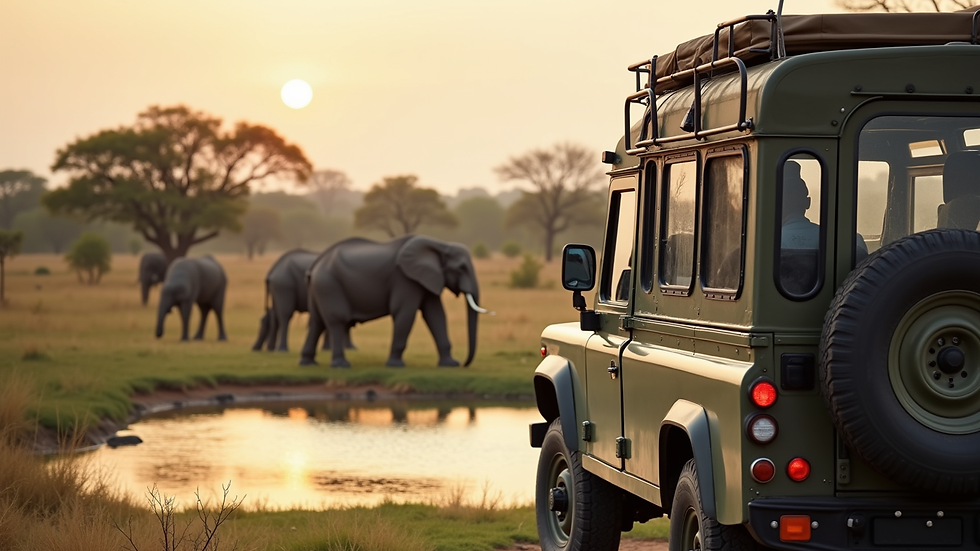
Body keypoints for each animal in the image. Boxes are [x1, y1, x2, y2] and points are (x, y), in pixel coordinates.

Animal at [300, 235, 488, 368]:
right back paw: (341, 365)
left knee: (317, 322)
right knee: (337, 320)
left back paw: (308, 363)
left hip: (319, 286)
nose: (464, 364)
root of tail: (316, 263)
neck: (440, 245)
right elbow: (405, 313)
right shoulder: (405, 279)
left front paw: (450, 364)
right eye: (461, 268)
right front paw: (396, 366)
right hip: (328, 284)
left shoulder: (426, 278)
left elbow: (436, 315)